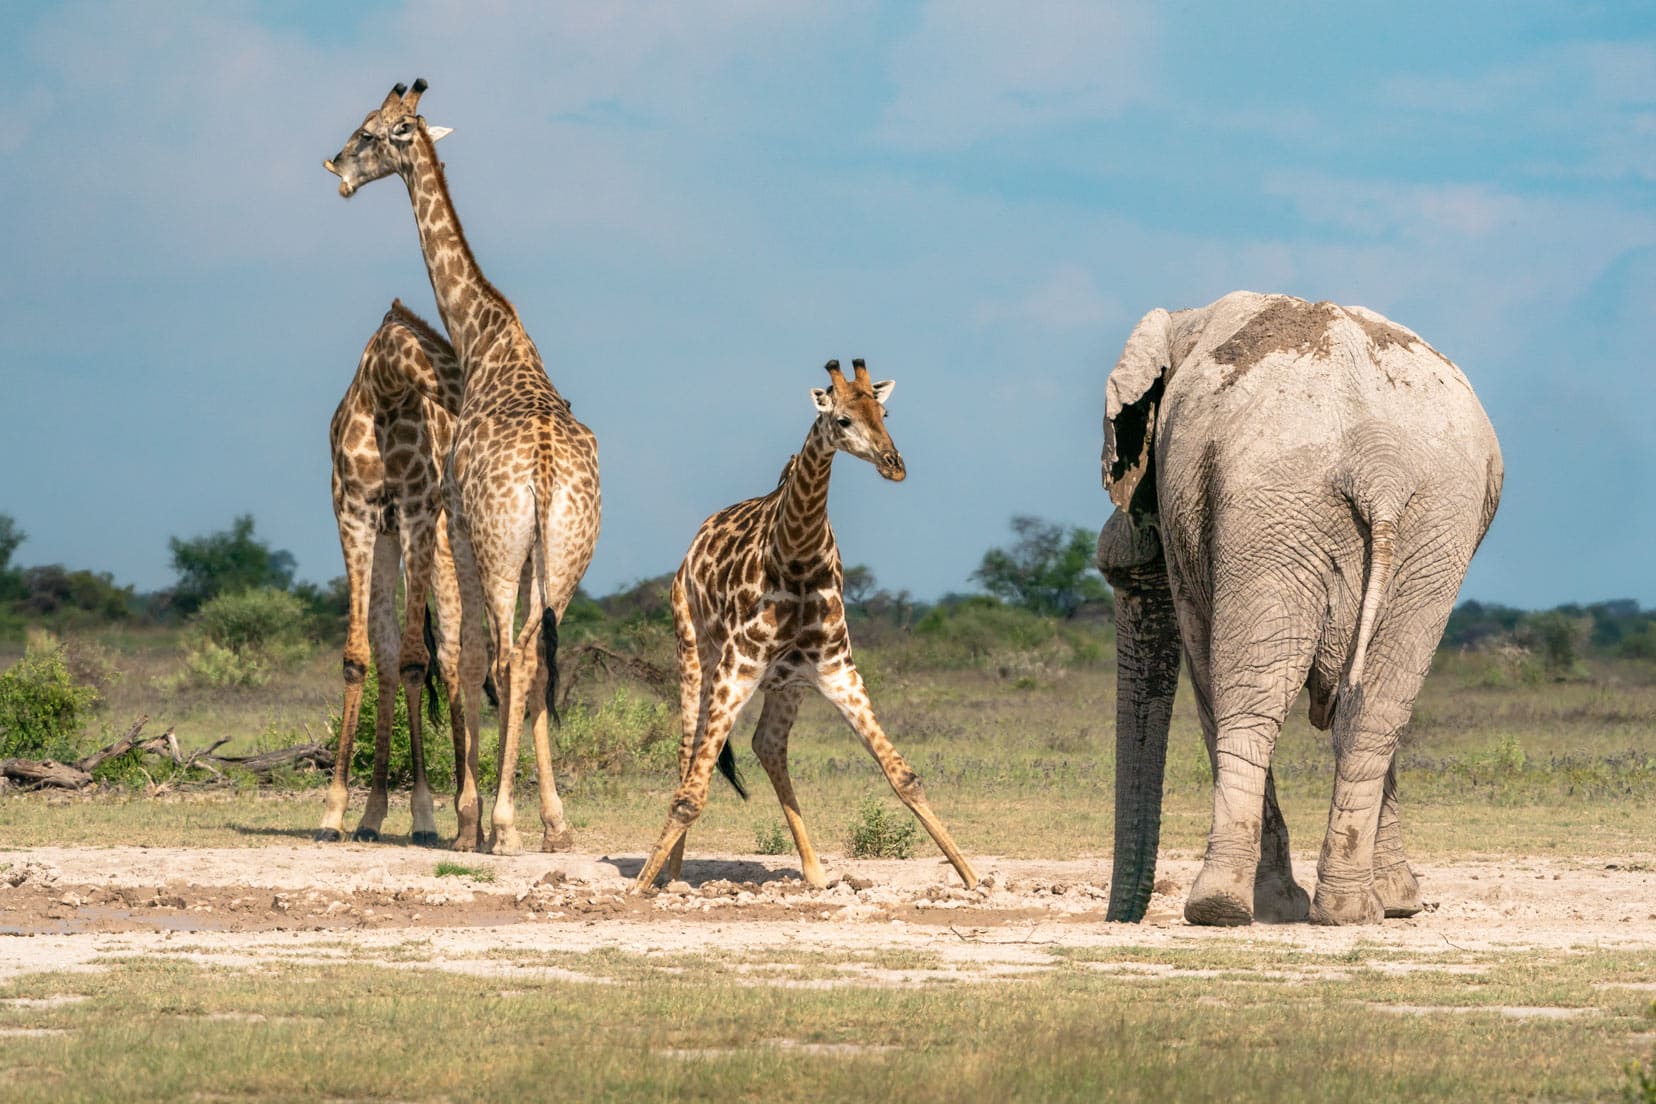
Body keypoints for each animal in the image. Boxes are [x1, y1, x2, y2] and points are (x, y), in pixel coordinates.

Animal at [314, 299, 480, 847]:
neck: (385, 390)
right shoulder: (355, 514)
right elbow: (361, 659)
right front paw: (336, 814)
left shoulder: (416, 513)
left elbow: (415, 662)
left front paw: (425, 817)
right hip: (390, 543)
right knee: (391, 653)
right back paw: (373, 816)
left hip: (446, 549)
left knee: (449, 658)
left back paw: (464, 815)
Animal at [629, 359, 967, 893]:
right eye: (843, 419)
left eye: (884, 412)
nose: (894, 464)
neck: (797, 557)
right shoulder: (736, 668)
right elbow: (690, 795)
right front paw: (639, 887)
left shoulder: (838, 670)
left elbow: (903, 775)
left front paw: (972, 877)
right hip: (693, 652)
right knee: (688, 754)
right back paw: (673, 875)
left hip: (788, 684)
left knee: (767, 744)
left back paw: (814, 871)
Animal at [1092, 291, 1510, 926]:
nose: (1120, 917)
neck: (1186, 321)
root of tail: (1379, 465)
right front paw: (1396, 903)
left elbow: (1206, 671)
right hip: (1434, 526)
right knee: (1378, 706)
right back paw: (1351, 909)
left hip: (1275, 507)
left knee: (1250, 699)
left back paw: (1223, 906)